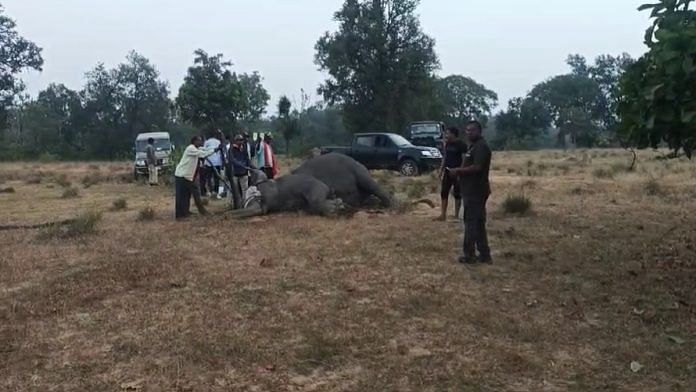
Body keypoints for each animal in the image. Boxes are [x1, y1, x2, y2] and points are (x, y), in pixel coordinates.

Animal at [228, 153, 392, 219]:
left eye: (258, 196)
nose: (226, 216)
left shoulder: (306, 183)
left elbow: (318, 192)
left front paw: (336, 207)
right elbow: (310, 206)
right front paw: (338, 205)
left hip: (359, 170)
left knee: (373, 186)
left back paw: (393, 206)